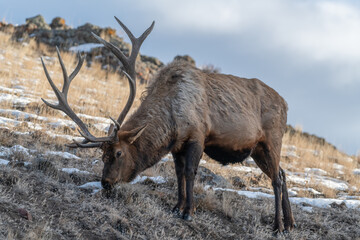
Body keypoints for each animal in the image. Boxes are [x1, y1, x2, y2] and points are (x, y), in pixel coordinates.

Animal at [41, 16, 296, 232]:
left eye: (119, 153)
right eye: (101, 155)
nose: (105, 183)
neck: (171, 120)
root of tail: (286, 105)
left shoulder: (197, 135)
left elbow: (191, 173)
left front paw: (188, 211)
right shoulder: (177, 146)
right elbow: (179, 173)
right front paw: (177, 206)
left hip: (272, 139)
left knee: (275, 179)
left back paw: (278, 226)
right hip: (257, 149)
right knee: (282, 174)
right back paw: (291, 223)